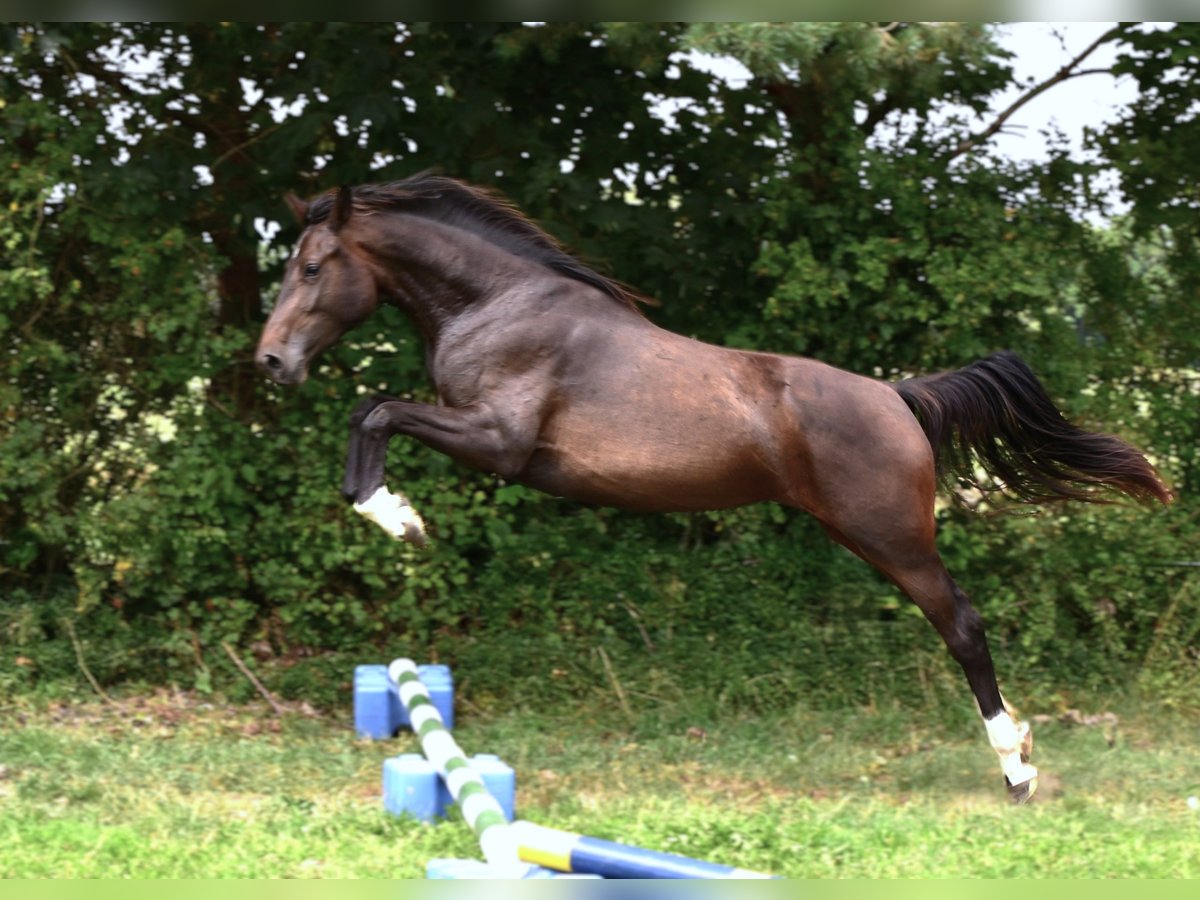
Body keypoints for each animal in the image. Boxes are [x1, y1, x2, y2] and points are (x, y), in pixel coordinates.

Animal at [255, 174, 1171, 801]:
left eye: (314, 266)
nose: (270, 362)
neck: (500, 303)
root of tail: (898, 397)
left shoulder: (500, 442)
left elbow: (376, 411)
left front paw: (401, 520)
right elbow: (369, 414)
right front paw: (393, 515)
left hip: (894, 539)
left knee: (965, 628)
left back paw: (1016, 768)